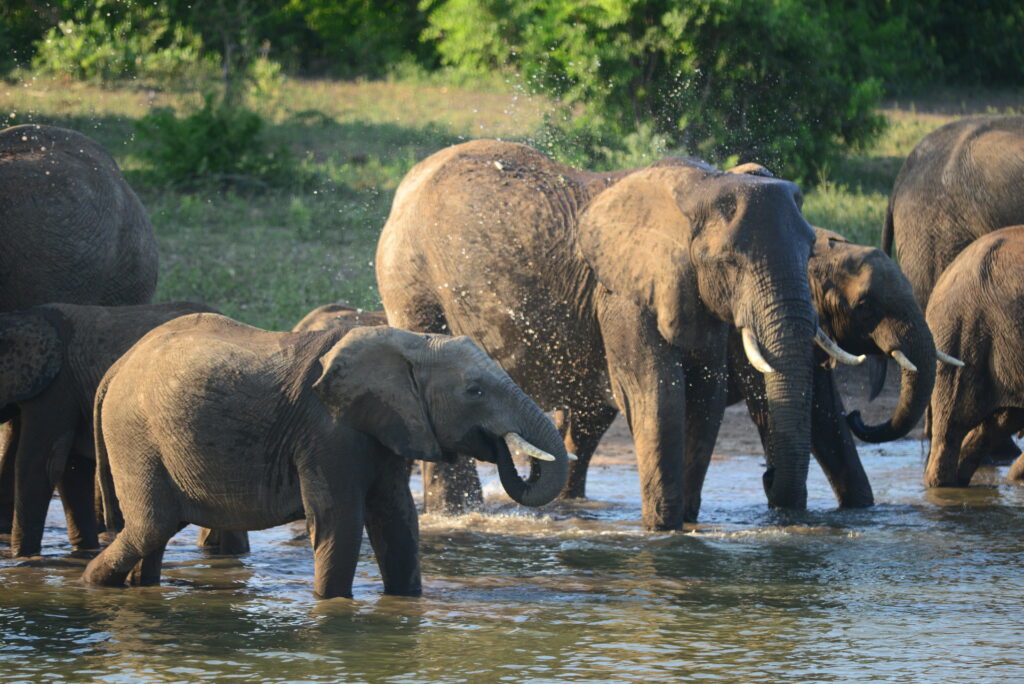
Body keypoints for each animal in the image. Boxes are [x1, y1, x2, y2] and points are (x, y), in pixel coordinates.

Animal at [83, 315, 573, 597]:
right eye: (475, 391)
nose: (503, 449)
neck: (409, 344)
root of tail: (115, 367)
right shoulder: (328, 431)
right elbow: (341, 523)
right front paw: (333, 608)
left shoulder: (386, 424)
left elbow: (397, 520)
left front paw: (405, 603)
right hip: (134, 434)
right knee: (152, 525)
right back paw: (89, 585)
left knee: (154, 533)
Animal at [372, 137, 860, 524]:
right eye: (729, 261)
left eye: (810, 250)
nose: (768, 478)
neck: (698, 186)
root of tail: (410, 180)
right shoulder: (622, 294)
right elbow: (657, 394)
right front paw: (662, 532)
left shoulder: (691, 294)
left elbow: (705, 397)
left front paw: (685, 527)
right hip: (408, 274)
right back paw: (456, 516)